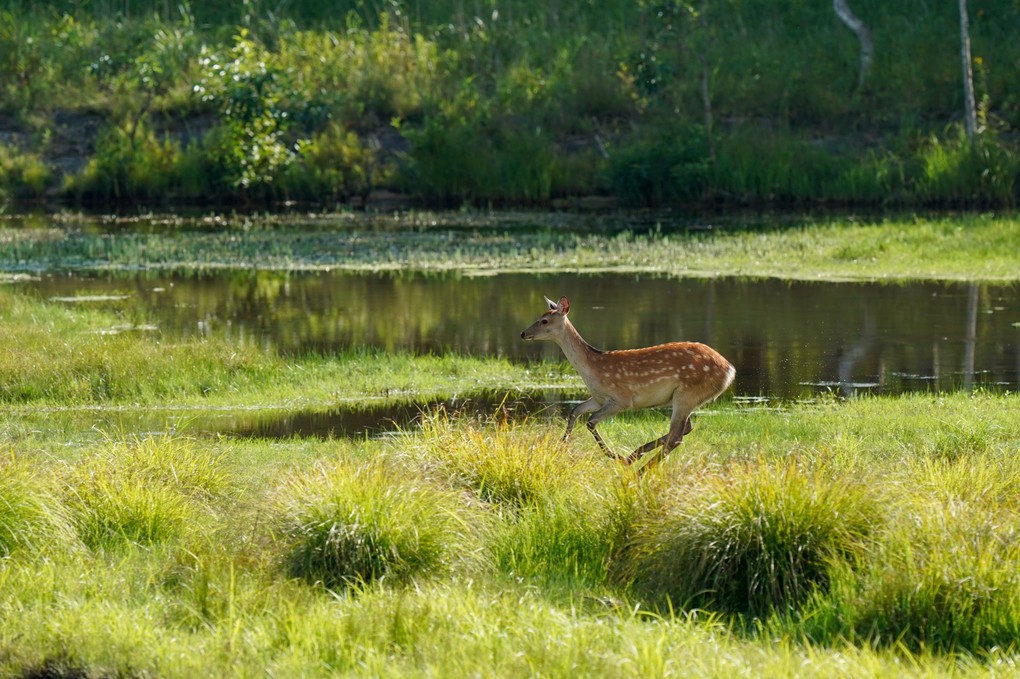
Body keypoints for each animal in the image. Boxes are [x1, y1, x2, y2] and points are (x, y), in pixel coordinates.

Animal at [526, 293, 734, 473]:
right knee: (685, 429)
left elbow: (591, 421)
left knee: (676, 436)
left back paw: (638, 469)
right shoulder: (599, 398)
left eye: (544, 321)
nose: (523, 333)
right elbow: (574, 411)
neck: (592, 367)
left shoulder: (621, 399)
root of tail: (729, 370)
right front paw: (561, 445)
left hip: (688, 392)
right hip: (686, 398)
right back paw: (635, 456)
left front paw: (614, 456)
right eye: (539, 317)